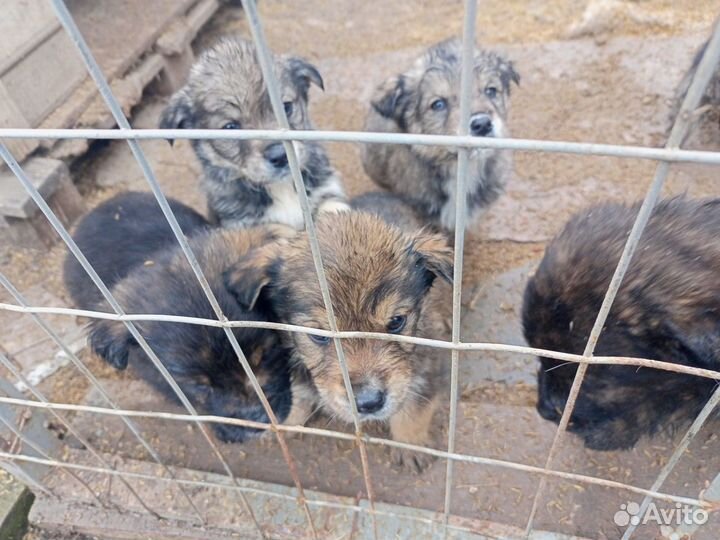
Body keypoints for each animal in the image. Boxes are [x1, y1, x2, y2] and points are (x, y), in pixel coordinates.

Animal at [160, 35, 348, 230]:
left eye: (286, 107)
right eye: (230, 127)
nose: (280, 156)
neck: (281, 187)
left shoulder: (327, 190)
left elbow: (334, 210)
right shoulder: (242, 223)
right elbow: (277, 228)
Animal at [225, 211, 452, 472]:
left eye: (396, 322)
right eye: (318, 335)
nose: (369, 403)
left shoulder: (428, 369)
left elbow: (413, 411)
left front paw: (410, 445)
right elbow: (298, 395)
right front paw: (281, 423)